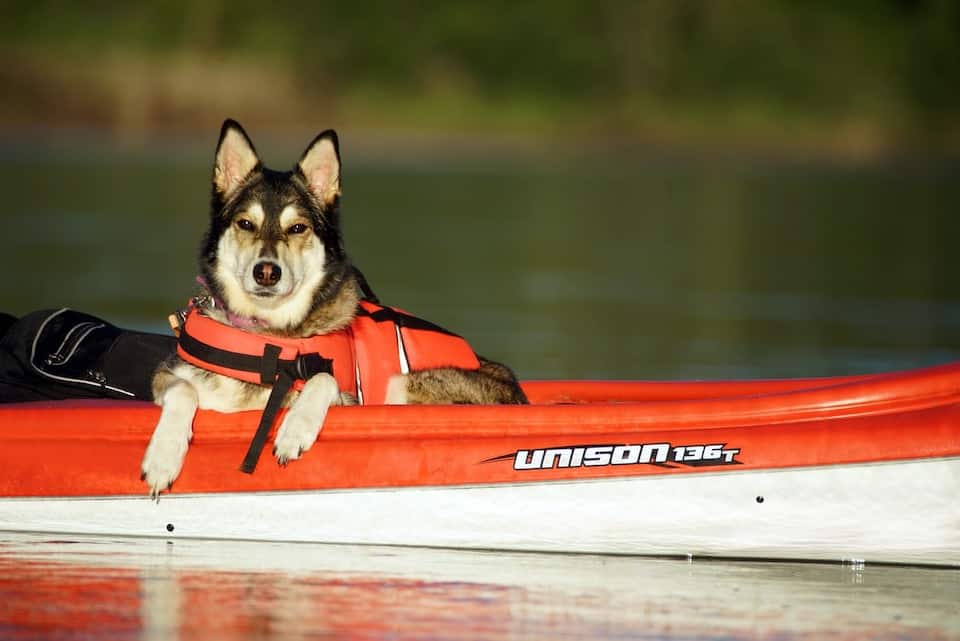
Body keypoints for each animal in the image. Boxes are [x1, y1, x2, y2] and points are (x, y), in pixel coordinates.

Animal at [140, 120, 528, 496]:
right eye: (245, 224)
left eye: (297, 228)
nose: (266, 272)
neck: (266, 338)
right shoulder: (166, 376)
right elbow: (183, 389)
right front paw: (162, 458)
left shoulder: (346, 398)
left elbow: (323, 378)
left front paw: (295, 430)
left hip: (404, 383)